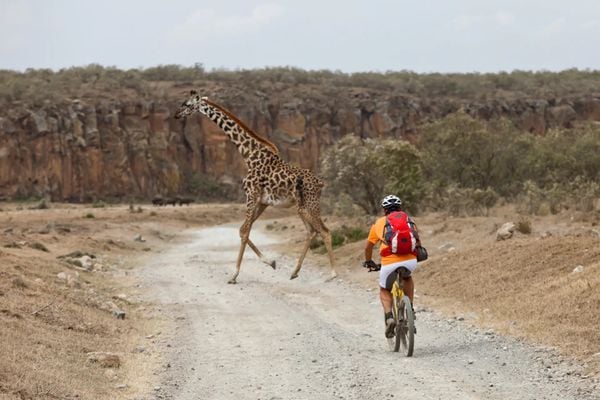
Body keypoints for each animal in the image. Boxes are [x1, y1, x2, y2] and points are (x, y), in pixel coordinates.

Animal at [175, 91, 338, 284]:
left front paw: (234, 275)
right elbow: (242, 230)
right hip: (301, 207)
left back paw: (333, 274)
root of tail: (320, 183)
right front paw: (271, 262)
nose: (176, 115)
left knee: (324, 231)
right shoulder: (262, 201)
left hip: (309, 205)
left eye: (187, 104)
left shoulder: (251, 195)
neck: (249, 155)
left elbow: (245, 231)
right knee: (311, 232)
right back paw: (294, 271)